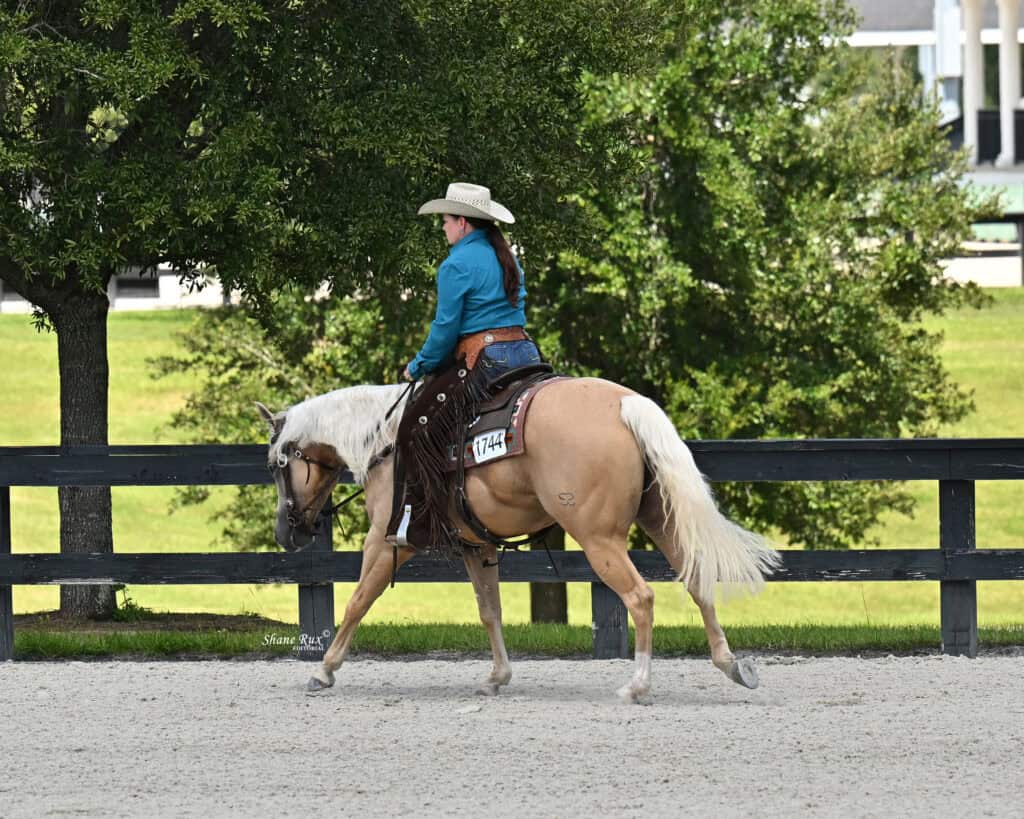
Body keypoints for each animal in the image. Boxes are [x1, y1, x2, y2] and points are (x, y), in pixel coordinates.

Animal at [258, 376, 780, 702]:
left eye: (277, 464)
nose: (287, 532)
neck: (385, 440)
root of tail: (625, 403)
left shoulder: (387, 543)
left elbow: (356, 602)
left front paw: (323, 670)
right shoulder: (478, 547)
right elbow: (490, 610)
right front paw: (497, 677)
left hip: (600, 539)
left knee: (641, 597)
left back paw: (637, 686)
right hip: (660, 520)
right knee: (697, 582)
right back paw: (732, 665)